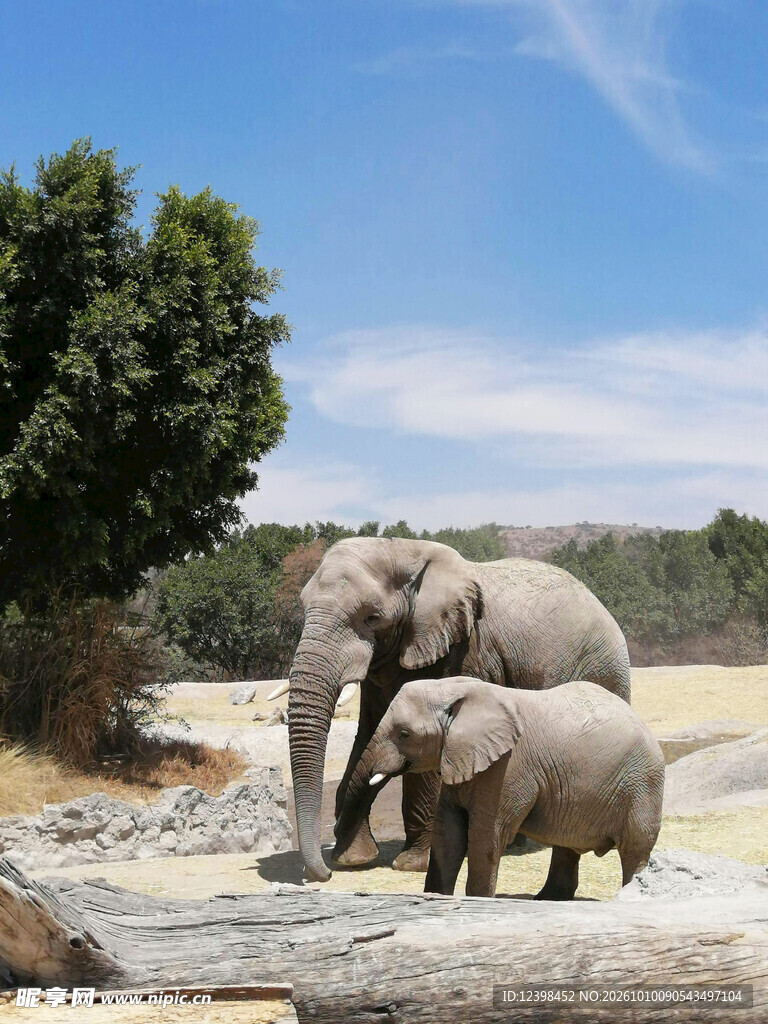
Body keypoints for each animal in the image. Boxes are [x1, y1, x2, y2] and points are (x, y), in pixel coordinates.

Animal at [279, 536, 631, 883]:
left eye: (372, 617)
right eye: (304, 607)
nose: (321, 874)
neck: (404, 550)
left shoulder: (464, 651)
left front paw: (411, 864)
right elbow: (368, 733)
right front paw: (352, 859)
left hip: (604, 669)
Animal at [363, 676, 665, 899]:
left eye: (404, 734)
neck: (457, 688)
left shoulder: (509, 766)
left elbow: (485, 837)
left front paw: (479, 903)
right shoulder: (462, 760)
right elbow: (448, 833)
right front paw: (434, 899)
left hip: (642, 783)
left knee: (635, 848)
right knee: (566, 843)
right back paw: (546, 900)